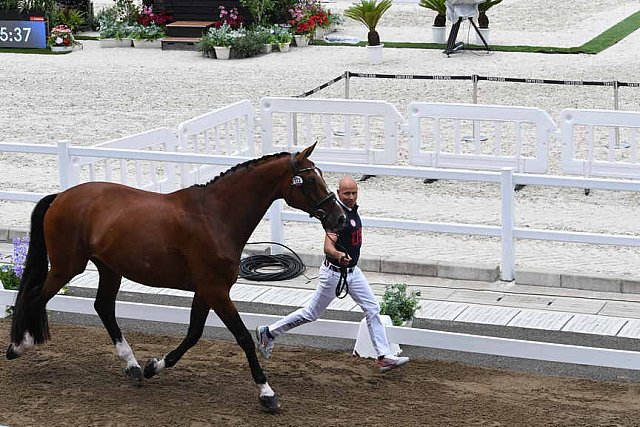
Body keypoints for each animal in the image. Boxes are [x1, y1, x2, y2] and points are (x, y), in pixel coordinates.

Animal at [5, 145, 344, 414]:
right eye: (310, 180)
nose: (340, 217)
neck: (216, 217)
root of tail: (61, 196)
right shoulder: (216, 290)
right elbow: (243, 337)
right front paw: (267, 394)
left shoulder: (206, 291)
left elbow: (193, 334)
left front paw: (154, 367)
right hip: (67, 266)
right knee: (36, 298)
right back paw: (19, 346)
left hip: (109, 269)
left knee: (103, 307)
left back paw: (133, 366)